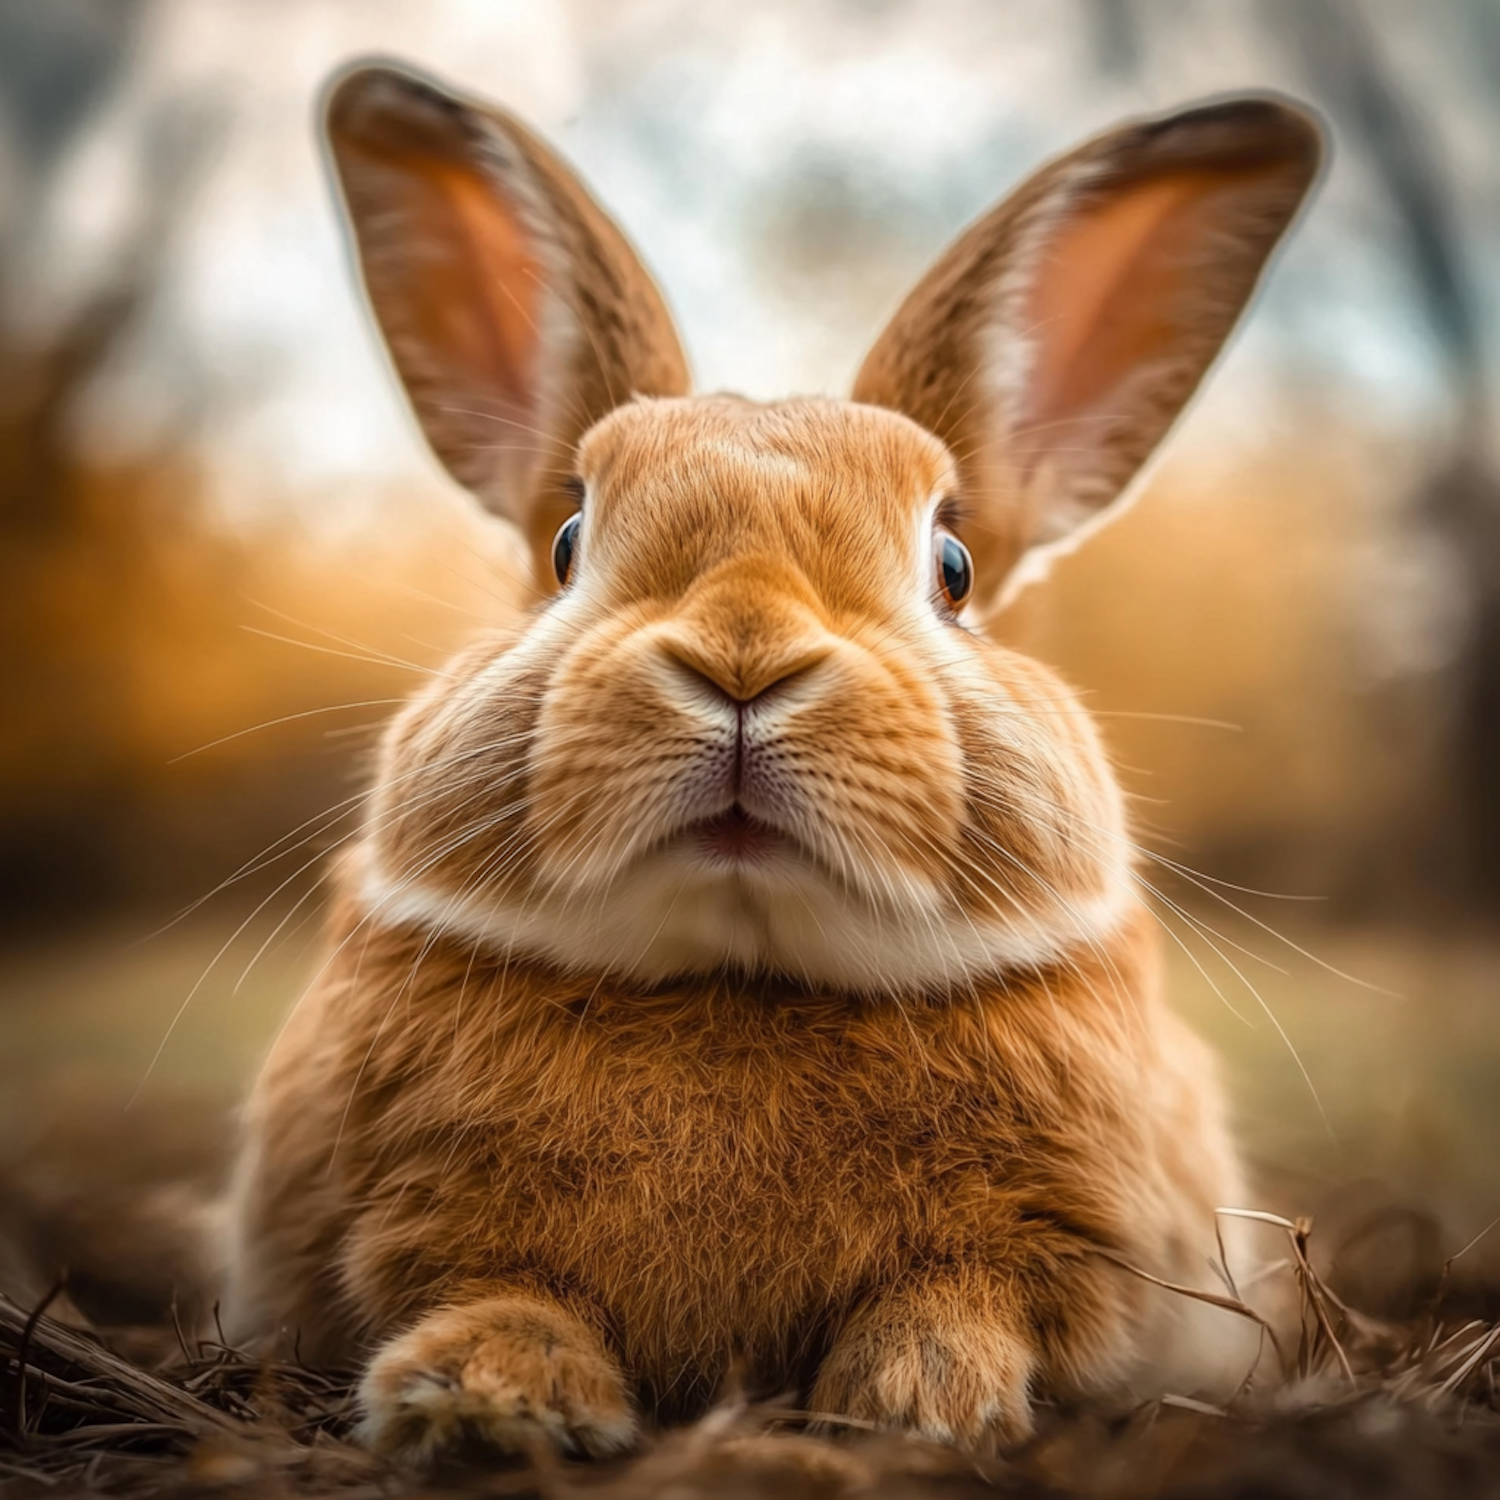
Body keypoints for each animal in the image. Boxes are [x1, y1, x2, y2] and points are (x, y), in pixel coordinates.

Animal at [225, 61, 1326, 1464]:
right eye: (567, 545)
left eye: (954, 568)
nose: (743, 657)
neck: (739, 972)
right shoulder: (412, 1225)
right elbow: (487, 1285)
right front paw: (479, 1398)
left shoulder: (1062, 1252)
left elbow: (968, 1293)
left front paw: (919, 1402)